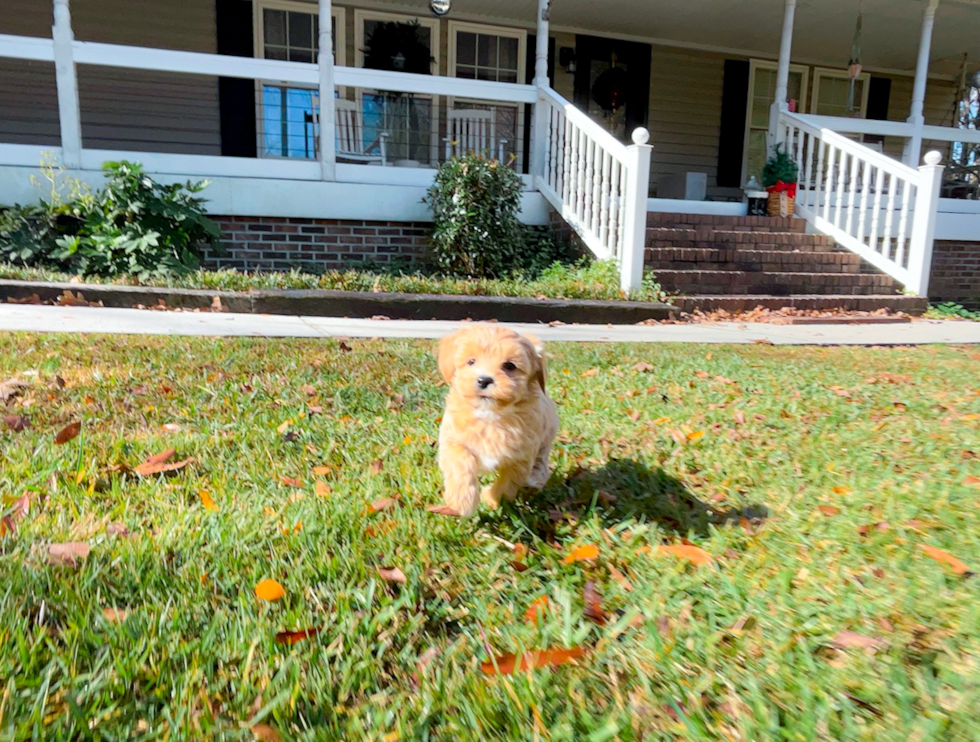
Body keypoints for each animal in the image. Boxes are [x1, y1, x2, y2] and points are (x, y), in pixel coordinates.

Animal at [436, 326, 560, 516]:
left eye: (509, 365)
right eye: (471, 361)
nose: (484, 380)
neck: (490, 415)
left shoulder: (520, 459)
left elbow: (508, 483)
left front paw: (491, 499)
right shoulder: (453, 440)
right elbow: (460, 463)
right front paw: (462, 501)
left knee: (540, 465)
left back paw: (536, 478)